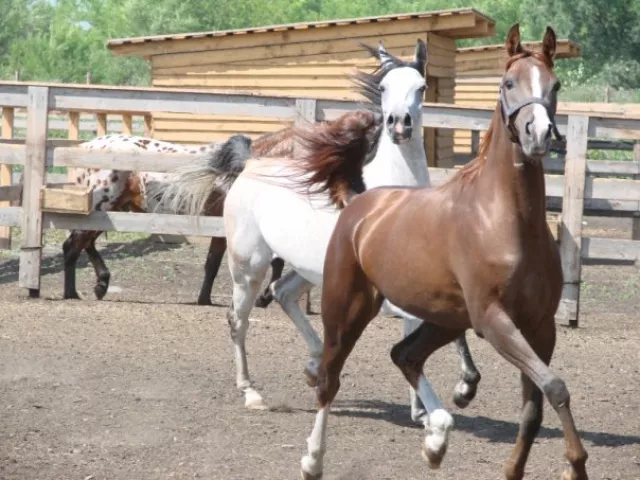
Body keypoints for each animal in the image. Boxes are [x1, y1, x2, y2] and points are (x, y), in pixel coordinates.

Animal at [160, 38, 480, 431]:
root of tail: (252, 164)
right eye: (384, 88)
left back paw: (313, 366)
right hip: (248, 266)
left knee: (282, 293)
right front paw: (455, 394)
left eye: (421, 87)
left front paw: (435, 403)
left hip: (309, 271)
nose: (399, 126)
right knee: (239, 319)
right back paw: (251, 392)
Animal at [298, 24, 588, 480]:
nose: (538, 134)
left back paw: (435, 441)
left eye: (555, 84)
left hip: (445, 320)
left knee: (404, 355)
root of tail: (361, 205)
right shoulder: (492, 320)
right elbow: (556, 386)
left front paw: (514, 469)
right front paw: (576, 465)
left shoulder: (540, 326)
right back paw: (313, 459)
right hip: (347, 308)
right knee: (330, 378)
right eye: (508, 83)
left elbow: (535, 405)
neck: (506, 221)